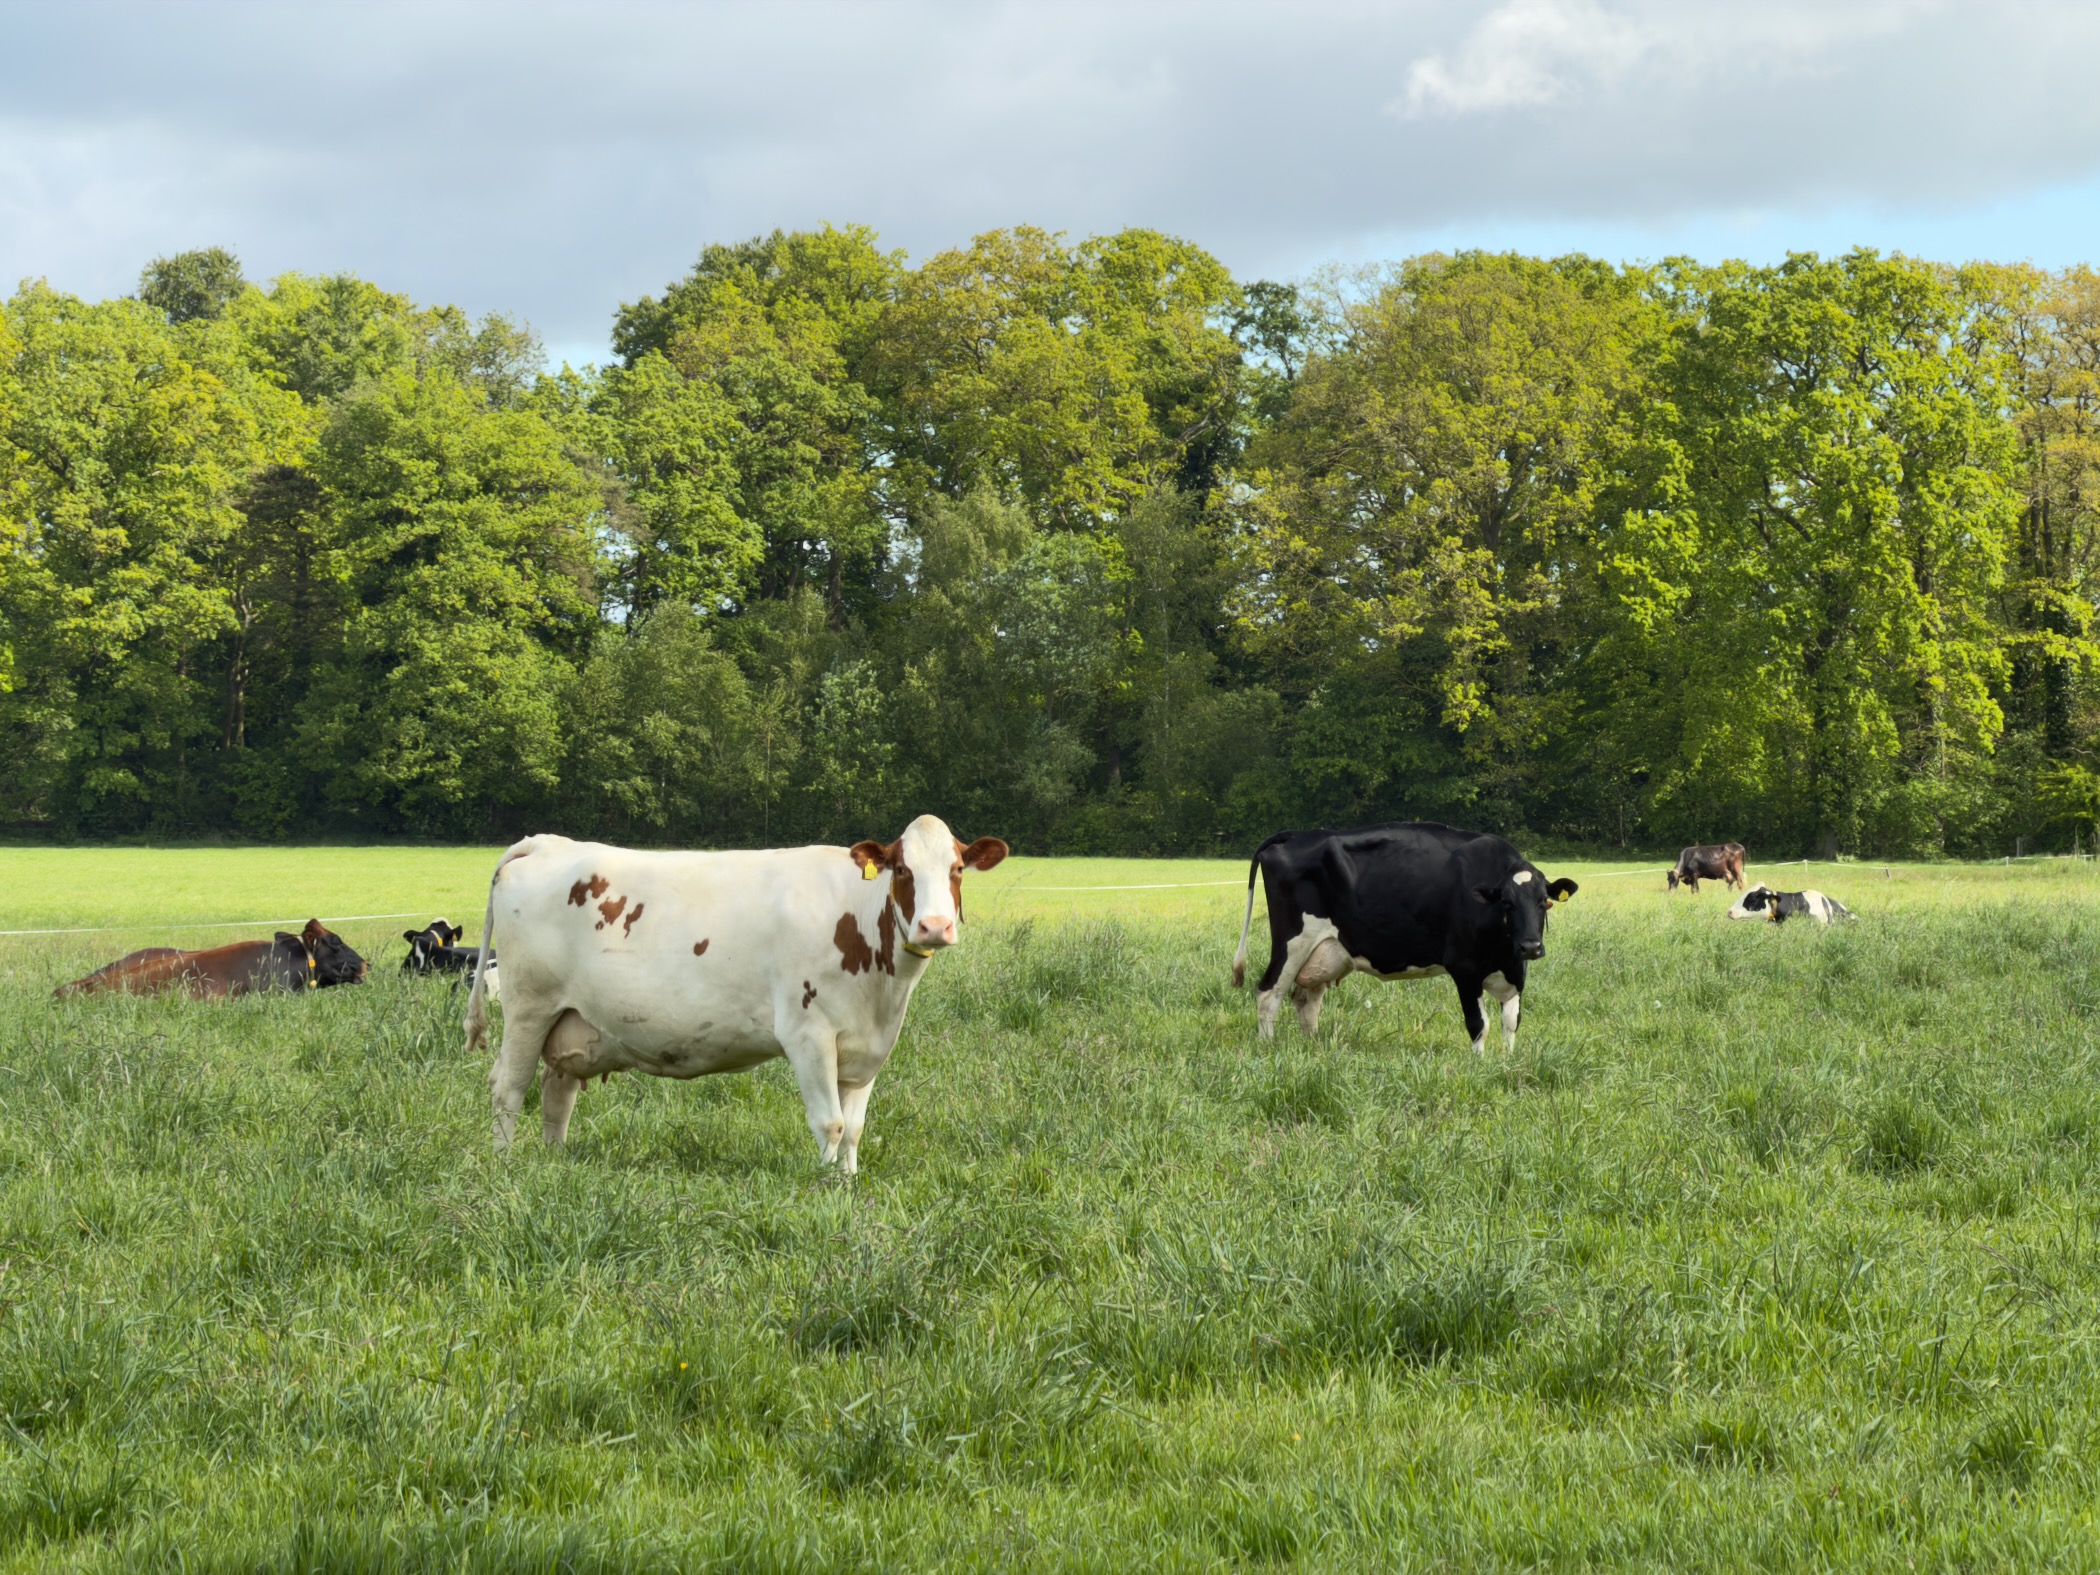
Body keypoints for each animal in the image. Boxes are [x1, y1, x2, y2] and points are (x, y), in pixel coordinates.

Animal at [467, 815, 1009, 1172]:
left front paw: (849, 1186)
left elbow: (854, 1128)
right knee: (509, 1087)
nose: (934, 926)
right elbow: (830, 1123)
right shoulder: (807, 1034)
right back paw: (504, 1166)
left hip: (573, 1019)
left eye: (957, 869)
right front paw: (824, 1190)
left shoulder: (868, 1045)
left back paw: (554, 1163)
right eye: (902, 870)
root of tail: (547, 842)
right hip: (529, 1007)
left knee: (556, 1093)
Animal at [1230, 822, 1578, 1053]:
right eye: (1507, 903)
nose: (1531, 946)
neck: (1502, 954)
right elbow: (1479, 1025)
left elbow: (1510, 1022)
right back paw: (1267, 1049)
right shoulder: (1464, 968)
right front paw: (1479, 1068)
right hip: (1292, 941)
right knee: (1269, 994)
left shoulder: (1516, 972)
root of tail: (1295, 835)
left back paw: (1314, 1048)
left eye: (1543, 902)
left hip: (1325, 950)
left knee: (1306, 1000)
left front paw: (1507, 1064)